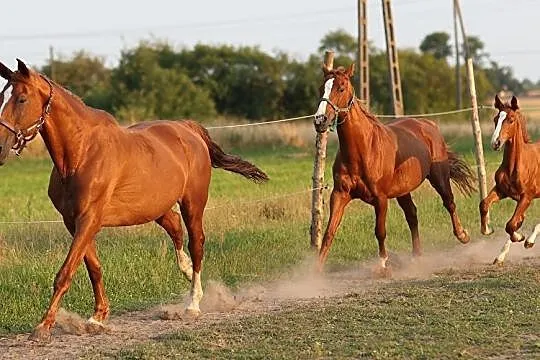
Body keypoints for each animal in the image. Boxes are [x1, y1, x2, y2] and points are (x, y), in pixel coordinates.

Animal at [0, 59, 268, 340]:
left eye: (21, 99)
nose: (0, 147)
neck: (81, 153)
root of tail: (187, 128)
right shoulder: (74, 222)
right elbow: (93, 268)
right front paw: (97, 318)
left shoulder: (89, 219)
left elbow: (66, 272)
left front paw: (43, 327)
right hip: (156, 206)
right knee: (175, 226)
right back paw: (184, 270)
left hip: (193, 203)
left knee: (197, 243)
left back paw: (193, 304)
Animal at [314, 63, 474, 272]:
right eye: (321, 88)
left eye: (340, 88)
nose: (320, 120)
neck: (363, 150)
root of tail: (429, 124)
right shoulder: (340, 194)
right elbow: (329, 232)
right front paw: (315, 272)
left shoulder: (381, 199)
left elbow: (380, 231)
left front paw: (382, 264)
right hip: (403, 190)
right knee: (412, 215)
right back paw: (416, 256)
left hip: (439, 177)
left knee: (449, 203)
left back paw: (463, 235)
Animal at [478, 95, 536, 264]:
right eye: (495, 119)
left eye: (511, 119)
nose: (495, 143)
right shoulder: (501, 191)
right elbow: (484, 204)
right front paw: (487, 229)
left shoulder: (526, 196)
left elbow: (510, 225)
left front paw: (521, 237)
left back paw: (529, 241)